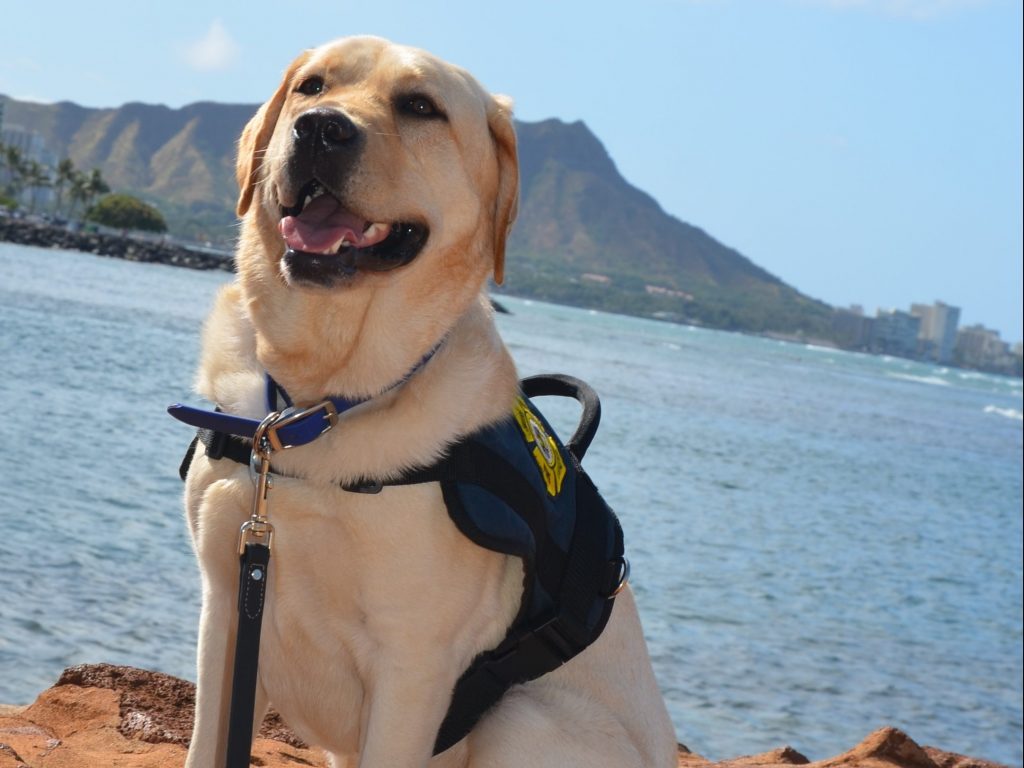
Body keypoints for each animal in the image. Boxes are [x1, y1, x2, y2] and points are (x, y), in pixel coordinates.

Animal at [182, 34, 679, 768]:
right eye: (311, 85)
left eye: (421, 107)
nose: (320, 128)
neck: (318, 403)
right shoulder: (227, 607)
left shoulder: (412, 669)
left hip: (521, 719)